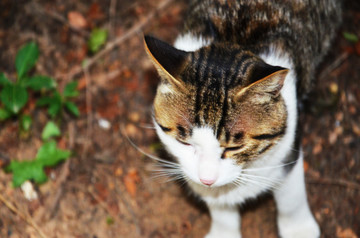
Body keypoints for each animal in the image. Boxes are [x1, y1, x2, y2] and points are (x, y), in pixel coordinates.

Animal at [143, 0, 340, 237]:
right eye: (184, 142)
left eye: (234, 147)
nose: (207, 179)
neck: (234, 36)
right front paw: (224, 230)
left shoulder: (290, 137)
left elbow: (290, 193)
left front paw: (298, 228)